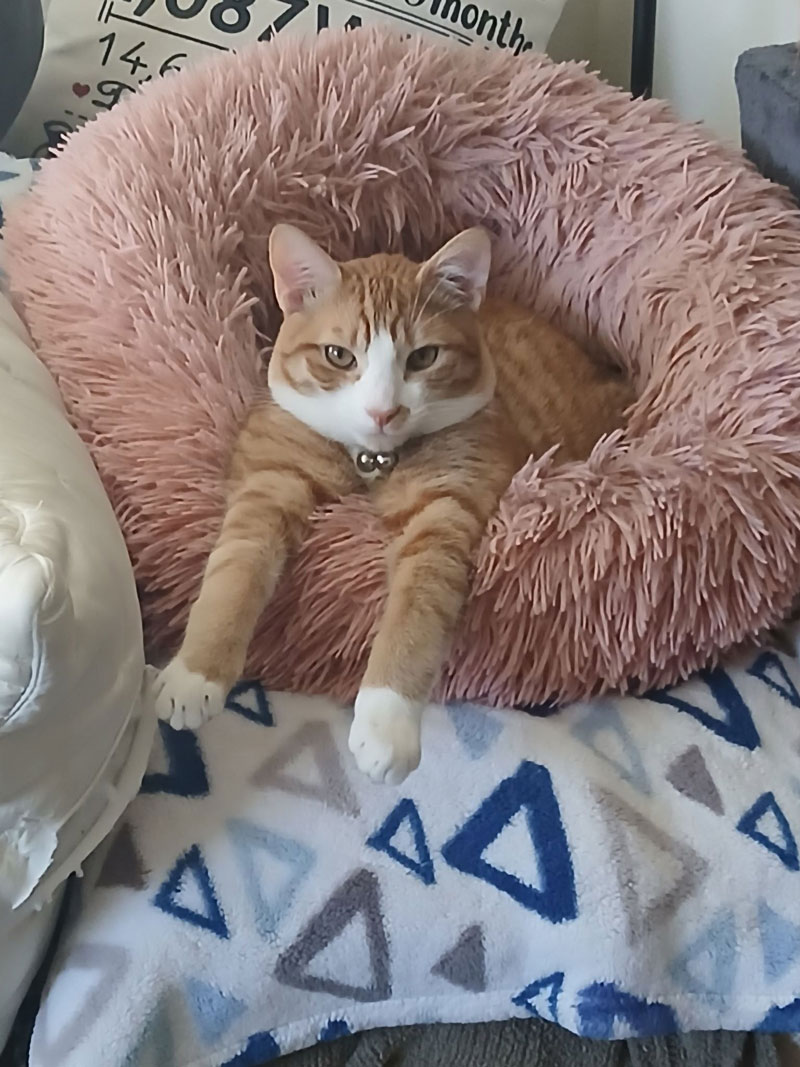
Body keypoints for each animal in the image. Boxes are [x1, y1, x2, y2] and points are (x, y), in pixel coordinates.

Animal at [154, 224, 633, 784]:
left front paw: (386, 724)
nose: (383, 411)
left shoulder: (443, 512)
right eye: (339, 355)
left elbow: (416, 612)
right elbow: (234, 574)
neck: (371, 460)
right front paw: (195, 674)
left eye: (423, 357)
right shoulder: (269, 484)